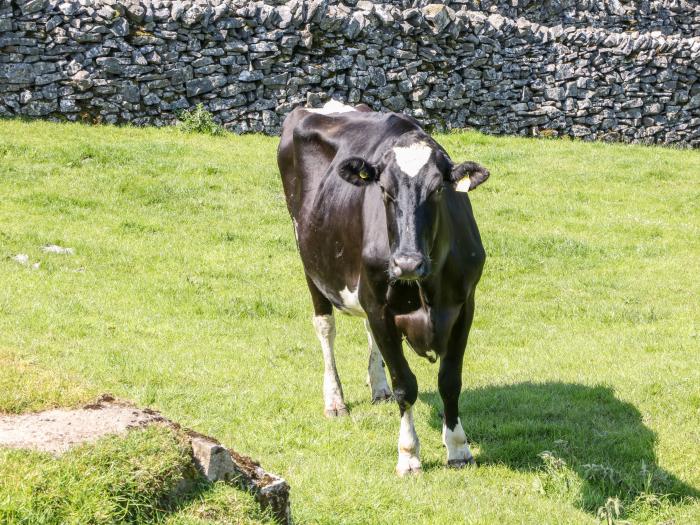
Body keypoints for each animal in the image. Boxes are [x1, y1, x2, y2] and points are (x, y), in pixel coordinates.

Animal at [276, 99, 490, 474]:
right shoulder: (380, 307)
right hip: (309, 258)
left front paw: (458, 449)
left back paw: (378, 388)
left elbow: (450, 381)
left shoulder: (464, 306)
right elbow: (405, 385)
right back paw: (335, 400)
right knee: (325, 328)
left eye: (438, 190)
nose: (406, 263)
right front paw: (409, 455)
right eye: (385, 191)